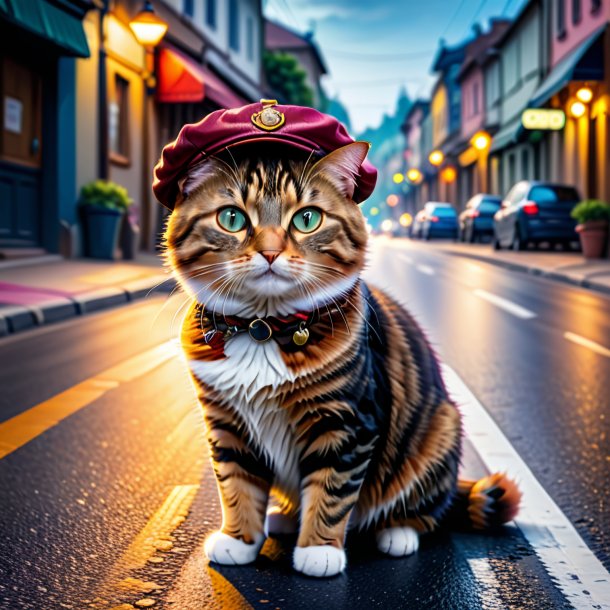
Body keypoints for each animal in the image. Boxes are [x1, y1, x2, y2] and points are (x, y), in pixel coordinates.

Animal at [163, 139, 516, 576]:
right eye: (232, 218)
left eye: (307, 219)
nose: (270, 252)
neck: (263, 328)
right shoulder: (227, 424)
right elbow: (236, 484)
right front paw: (239, 539)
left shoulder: (347, 423)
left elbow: (331, 490)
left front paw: (318, 549)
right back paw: (285, 517)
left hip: (441, 427)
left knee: (424, 510)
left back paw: (396, 533)